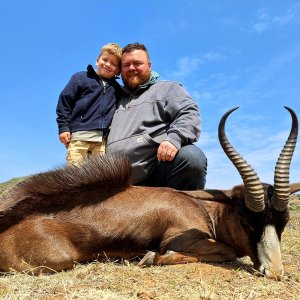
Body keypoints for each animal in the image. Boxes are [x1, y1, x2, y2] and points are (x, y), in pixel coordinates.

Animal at [0, 106, 298, 278]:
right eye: (246, 221)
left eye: (283, 223)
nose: (274, 272)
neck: (202, 206)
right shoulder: (179, 238)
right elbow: (226, 250)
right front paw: (149, 257)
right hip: (61, 260)